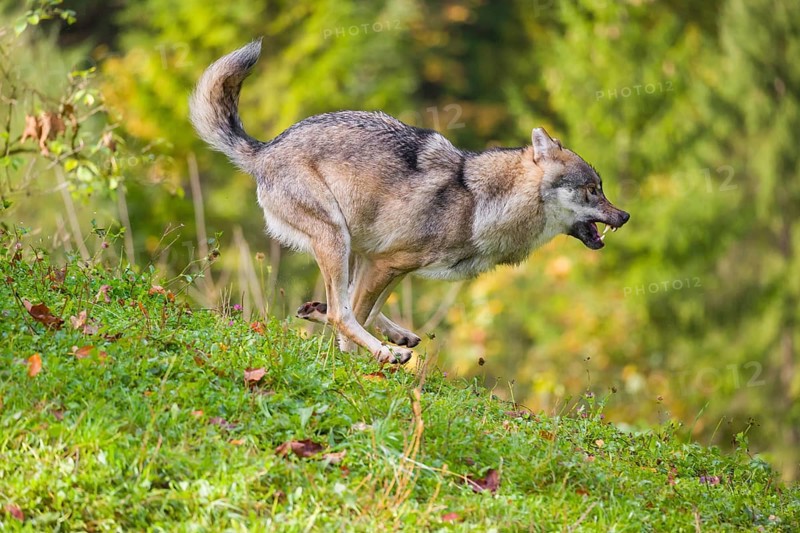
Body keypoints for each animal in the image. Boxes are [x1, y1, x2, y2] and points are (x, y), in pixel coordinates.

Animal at [189, 40, 630, 364]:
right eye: (592, 189)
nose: (624, 215)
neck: (480, 203)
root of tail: (265, 149)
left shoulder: (390, 265)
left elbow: (360, 308)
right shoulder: (387, 263)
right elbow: (352, 316)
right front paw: (362, 359)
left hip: (351, 245)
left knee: (340, 303)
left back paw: (373, 329)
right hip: (337, 238)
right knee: (341, 311)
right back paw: (383, 348)